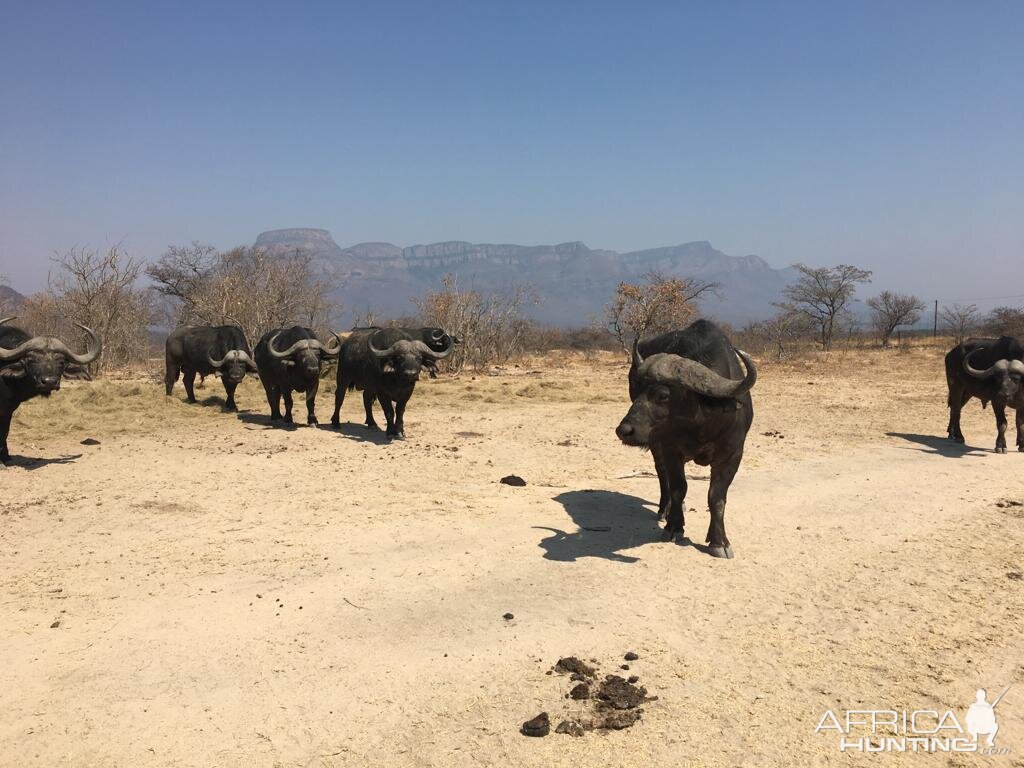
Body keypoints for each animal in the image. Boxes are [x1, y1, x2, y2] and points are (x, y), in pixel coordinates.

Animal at [0, 317, 101, 466]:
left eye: (61, 362)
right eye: (31, 360)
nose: (49, 382)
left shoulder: (8, 410)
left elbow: (5, 432)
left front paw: (6, 458)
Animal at [610, 321, 757, 561]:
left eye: (662, 395)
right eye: (637, 388)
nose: (624, 430)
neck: (702, 423)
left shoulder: (733, 454)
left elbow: (717, 497)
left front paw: (719, 541)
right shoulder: (671, 449)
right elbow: (679, 487)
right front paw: (673, 527)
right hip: (656, 445)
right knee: (662, 474)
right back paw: (665, 509)